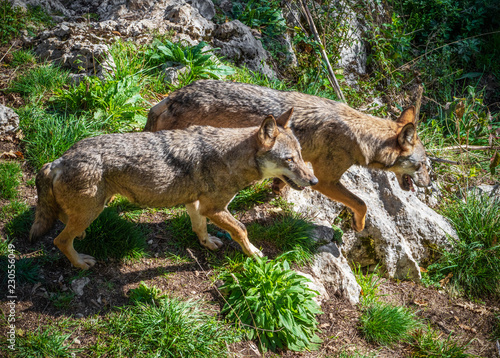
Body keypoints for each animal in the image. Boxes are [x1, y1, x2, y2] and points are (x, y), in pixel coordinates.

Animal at [29, 113, 316, 270]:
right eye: (289, 159)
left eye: (302, 155)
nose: (313, 180)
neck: (232, 156)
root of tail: (58, 161)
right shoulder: (215, 208)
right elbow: (242, 229)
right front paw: (254, 253)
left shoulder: (196, 204)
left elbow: (199, 227)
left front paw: (207, 243)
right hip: (93, 209)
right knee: (60, 241)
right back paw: (80, 263)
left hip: (94, 207)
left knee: (64, 222)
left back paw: (81, 236)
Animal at [144, 79, 430, 231]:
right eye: (424, 165)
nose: (428, 184)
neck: (357, 134)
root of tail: (172, 96)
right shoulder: (326, 181)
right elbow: (362, 204)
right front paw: (359, 227)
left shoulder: (300, 166)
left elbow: (284, 180)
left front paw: (276, 190)